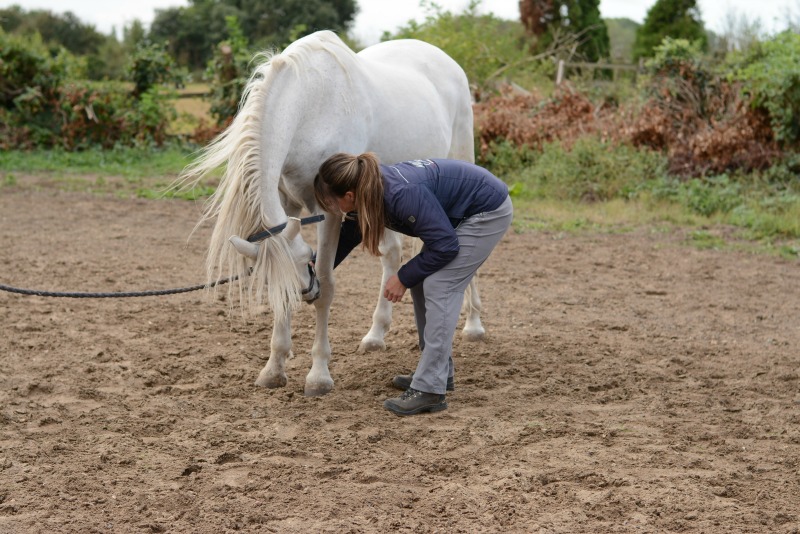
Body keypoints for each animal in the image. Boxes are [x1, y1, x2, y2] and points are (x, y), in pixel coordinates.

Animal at [183, 30, 488, 398]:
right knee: (393, 255)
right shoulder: (289, 206)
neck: (311, 107)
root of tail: (448, 62)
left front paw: (318, 375)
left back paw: (473, 325)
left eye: (305, 261)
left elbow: (328, 284)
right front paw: (274, 367)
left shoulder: (328, 213)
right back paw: (375, 335)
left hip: (460, 160)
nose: (306, 293)